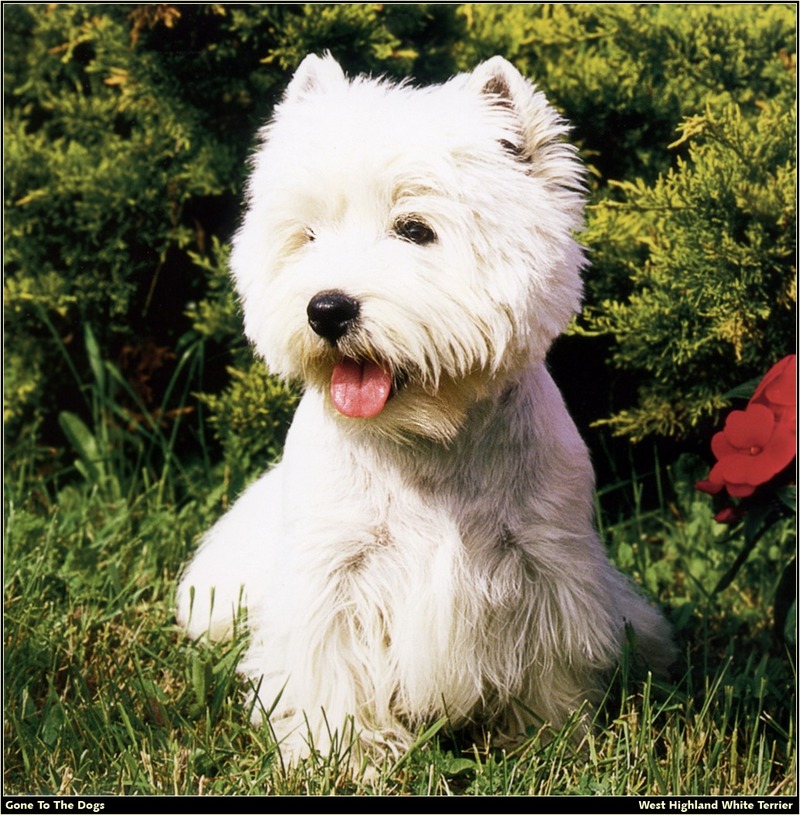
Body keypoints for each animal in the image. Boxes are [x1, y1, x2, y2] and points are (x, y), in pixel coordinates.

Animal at [177, 55, 676, 764]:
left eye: (415, 230)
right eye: (307, 234)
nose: (326, 309)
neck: (428, 441)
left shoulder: (546, 562)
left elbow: (550, 669)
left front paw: (546, 743)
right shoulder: (334, 574)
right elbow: (329, 671)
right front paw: (342, 756)